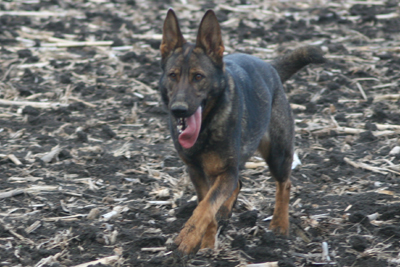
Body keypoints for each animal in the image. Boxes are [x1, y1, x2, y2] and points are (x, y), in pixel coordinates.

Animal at [158, 8, 324, 255]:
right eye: (173, 75)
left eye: (198, 77)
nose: (178, 109)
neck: (206, 127)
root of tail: (270, 67)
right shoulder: (197, 172)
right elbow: (206, 205)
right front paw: (207, 244)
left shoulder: (226, 171)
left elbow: (205, 207)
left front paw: (188, 238)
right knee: (237, 185)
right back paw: (226, 212)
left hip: (277, 153)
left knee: (284, 184)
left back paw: (279, 224)